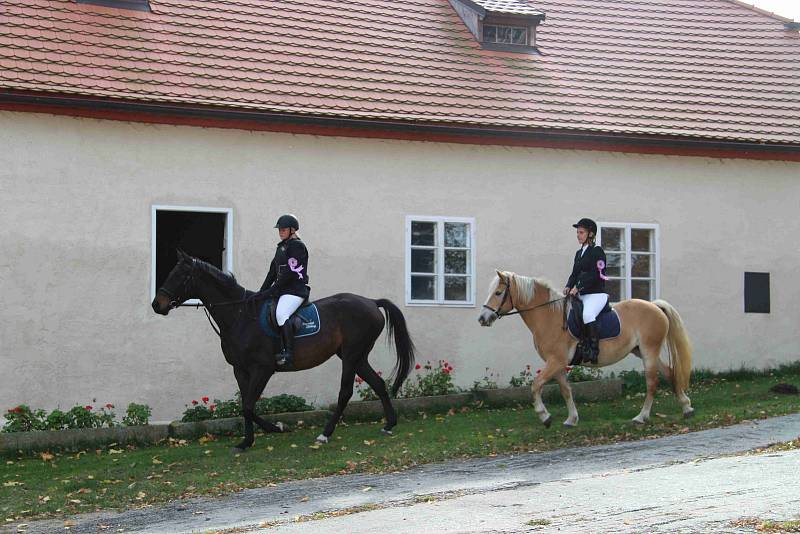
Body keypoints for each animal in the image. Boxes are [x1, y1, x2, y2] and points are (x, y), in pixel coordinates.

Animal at [150, 251, 416, 452]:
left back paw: (325, 434)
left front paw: (266, 432)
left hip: (351, 355)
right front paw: (254, 438)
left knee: (345, 392)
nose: (157, 305)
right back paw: (389, 425)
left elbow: (248, 405)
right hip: (357, 356)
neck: (239, 315)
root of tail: (371, 302)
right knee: (378, 384)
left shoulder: (263, 369)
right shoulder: (240, 369)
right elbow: (246, 405)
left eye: (180, 275)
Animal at [476, 272, 692, 428]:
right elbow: (565, 390)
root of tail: (654, 306)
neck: (548, 316)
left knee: (652, 382)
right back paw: (687, 408)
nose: (482, 318)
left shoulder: (555, 361)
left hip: (649, 351)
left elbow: (536, 385)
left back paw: (641, 417)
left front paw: (545, 416)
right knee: (670, 373)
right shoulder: (558, 364)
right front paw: (571, 419)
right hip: (641, 351)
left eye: (498, 293)